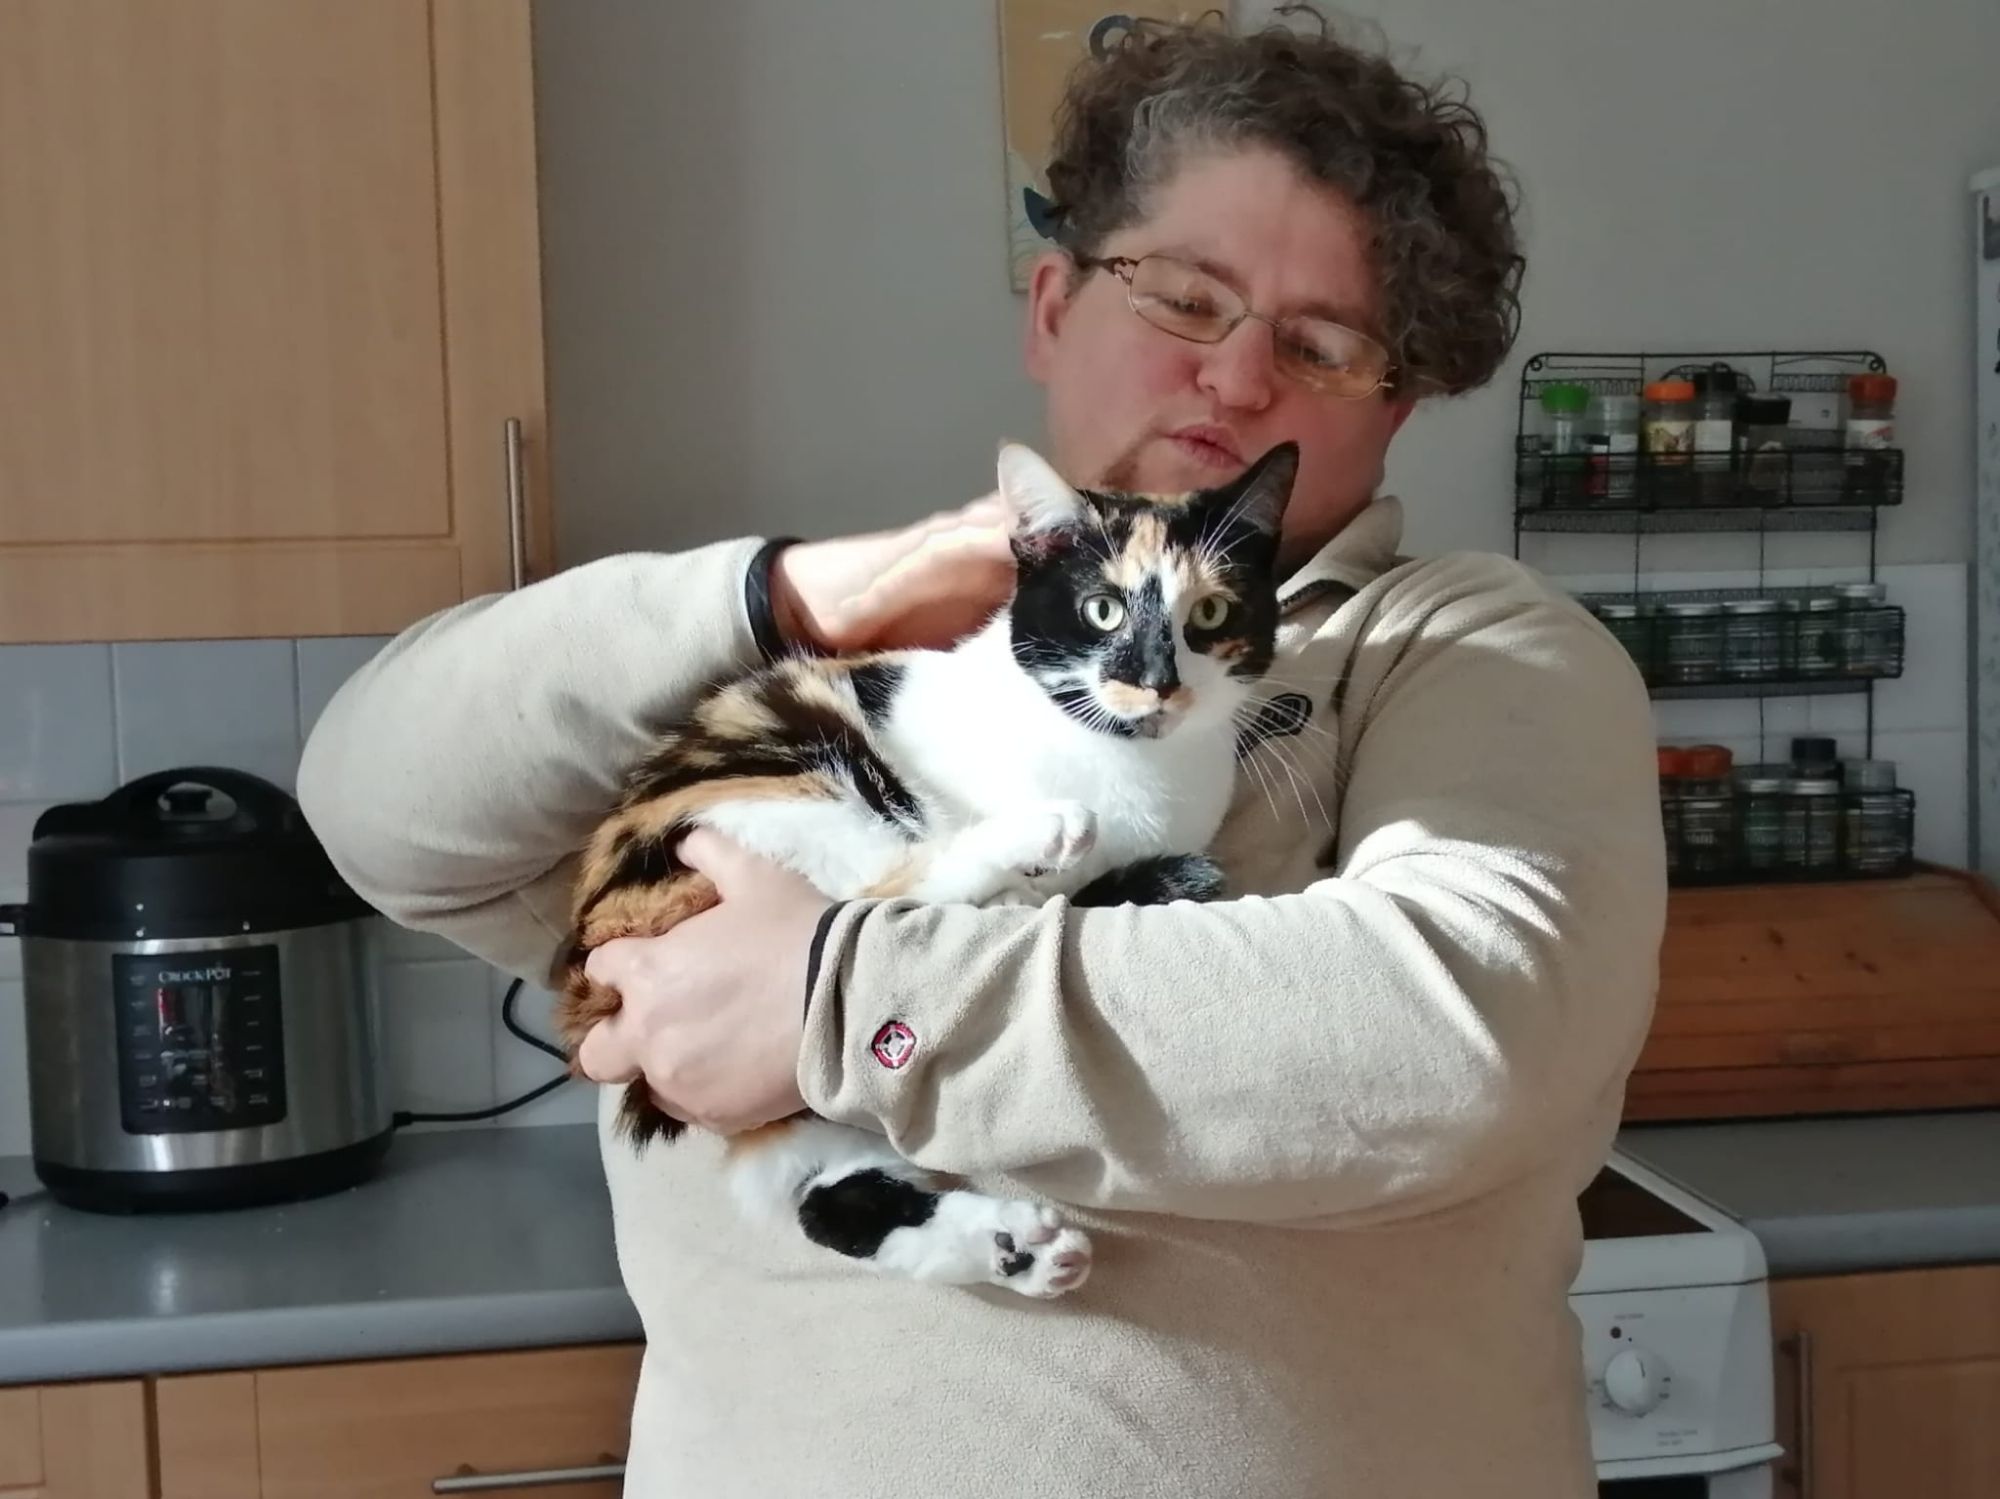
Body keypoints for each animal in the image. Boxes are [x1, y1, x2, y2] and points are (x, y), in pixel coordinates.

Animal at [556, 437, 1296, 1303]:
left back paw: (1019, 1248)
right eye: (1103, 610)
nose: (1157, 681)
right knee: (879, 890)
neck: (1133, 766)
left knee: (827, 1195)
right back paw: (1045, 839)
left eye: (1210, 614)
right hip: (783, 784)